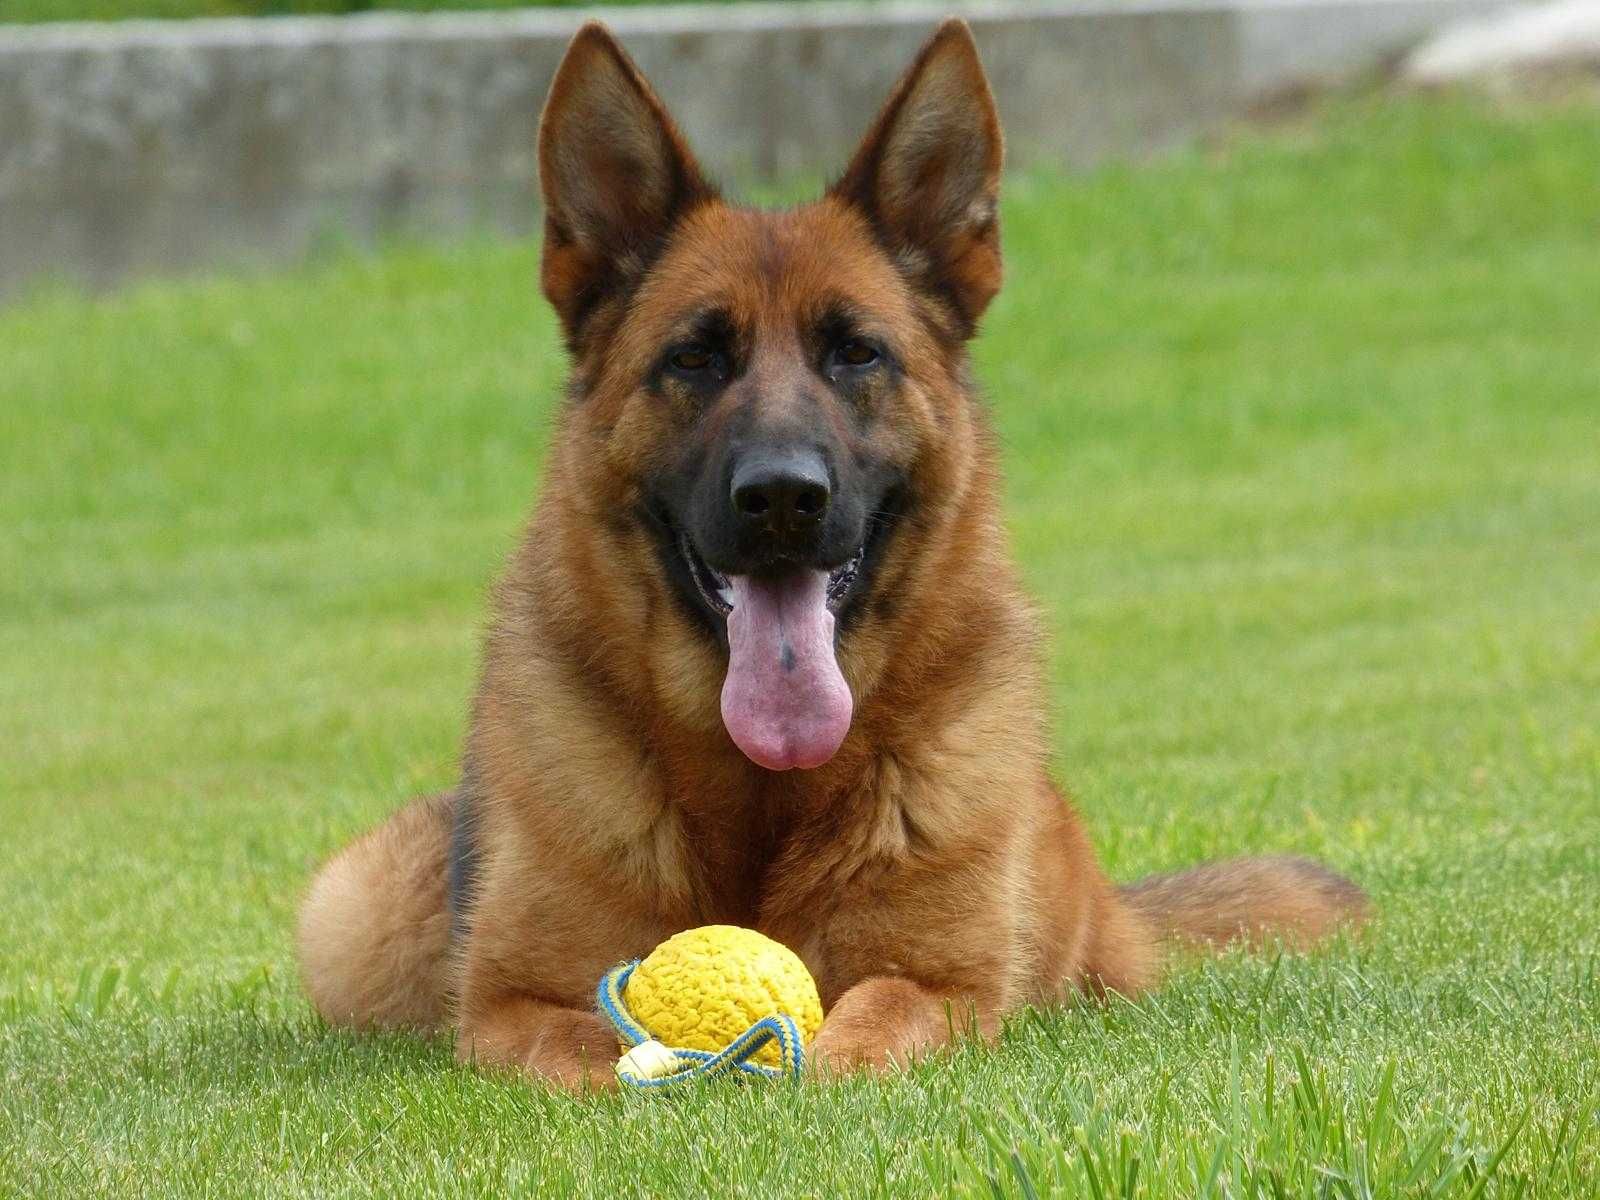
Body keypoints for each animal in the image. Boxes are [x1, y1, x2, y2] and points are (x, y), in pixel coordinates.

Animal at [297, 18, 1363, 1088]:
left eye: (856, 351)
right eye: (696, 357)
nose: (782, 497)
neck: (762, 797)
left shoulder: (941, 984)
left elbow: (867, 1031)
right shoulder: (508, 1007)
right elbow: (584, 1051)